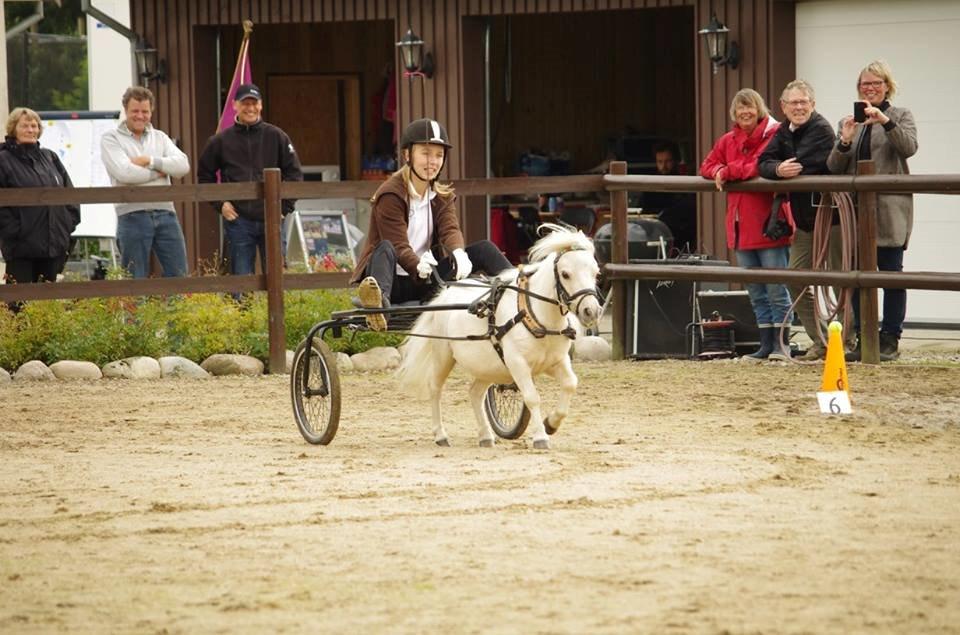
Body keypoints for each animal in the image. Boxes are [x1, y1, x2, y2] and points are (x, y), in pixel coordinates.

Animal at [398, 226, 600, 450]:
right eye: (565, 274)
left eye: (596, 272)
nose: (591, 311)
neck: (536, 315)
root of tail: (445, 295)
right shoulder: (517, 363)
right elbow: (532, 397)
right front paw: (541, 437)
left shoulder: (556, 361)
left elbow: (571, 384)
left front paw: (551, 423)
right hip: (444, 355)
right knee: (435, 387)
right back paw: (441, 435)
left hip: (488, 366)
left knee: (475, 393)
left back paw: (486, 436)